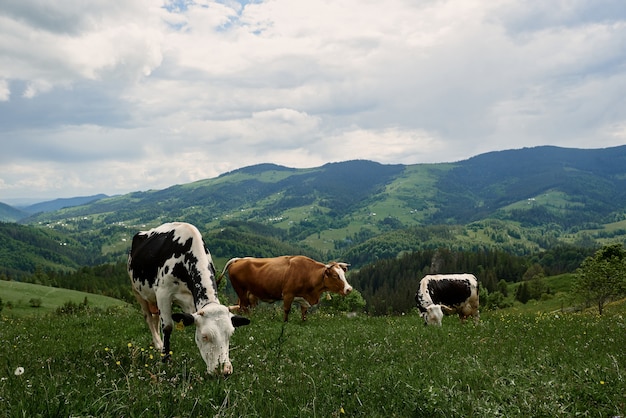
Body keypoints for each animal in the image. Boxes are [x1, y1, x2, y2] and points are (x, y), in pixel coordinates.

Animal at [127, 222, 249, 376]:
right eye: (205, 336)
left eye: (230, 334)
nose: (224, 370)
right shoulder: (163, 293)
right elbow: (167, 326)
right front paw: (165, 360)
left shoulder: (190, 300)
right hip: (138, 291)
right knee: (149, 318)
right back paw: (158, 344)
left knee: (155, 318)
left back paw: (159, 344)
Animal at [221, 255, 352, 320]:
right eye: (335, 275)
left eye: (343, 274)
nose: (349, 289)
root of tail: (239, 259)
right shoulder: (288, 294)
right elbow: (286, 311)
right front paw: (285, 323)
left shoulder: (304, 299)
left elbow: (304, 313)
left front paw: (303, 322)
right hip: (241, 291)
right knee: (243, 308)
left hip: (248, 294)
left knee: (241, 307)